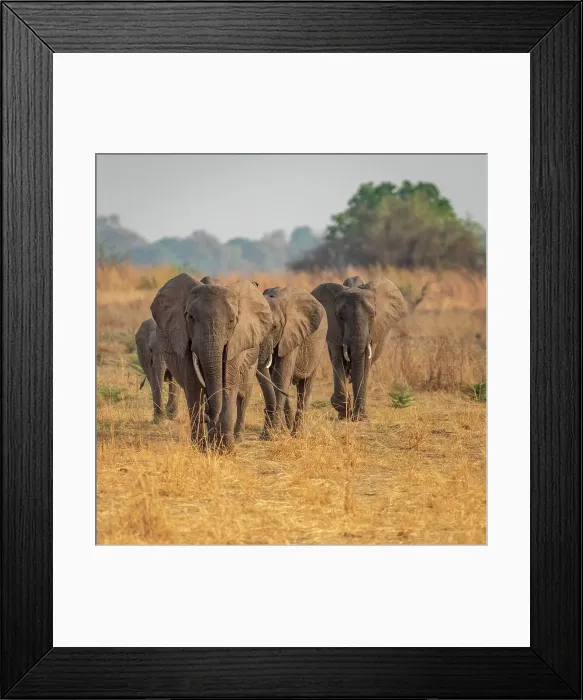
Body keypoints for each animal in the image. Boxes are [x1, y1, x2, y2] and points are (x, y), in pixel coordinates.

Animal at [151, 273, 272, 450]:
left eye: (232, 321)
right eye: (190, 318)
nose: (207, 415)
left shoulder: (236, 341)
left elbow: (228, 383)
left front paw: (225, 449)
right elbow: (194, 385)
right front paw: (201, 448)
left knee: (243, 394)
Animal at [256, 286, 327, 437]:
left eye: (275, 327)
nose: (266, 434)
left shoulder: (291, 334)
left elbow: (281, 375)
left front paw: (272, 435)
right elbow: (276, 378)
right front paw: (271, 434)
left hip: (318, 350)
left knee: (305, 387)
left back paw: (298, 434)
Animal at [312, 278, 407, 421]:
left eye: (373, 315)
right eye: (340, 316)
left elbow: (365, 364)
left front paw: (360, 418)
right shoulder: (334, 331)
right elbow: (338, 360)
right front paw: (344, 410)